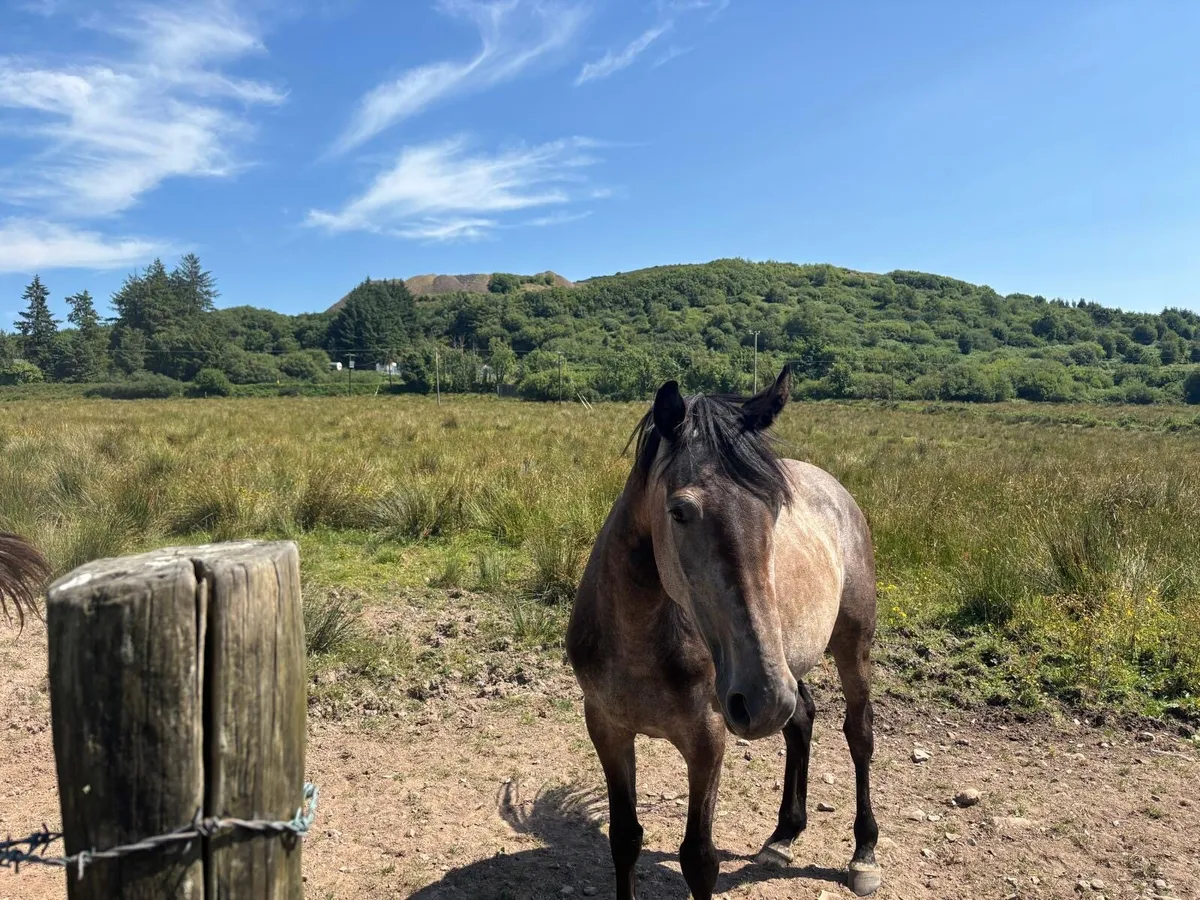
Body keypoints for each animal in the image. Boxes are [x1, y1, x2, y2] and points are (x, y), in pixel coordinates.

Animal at [566, 365, 881, 900]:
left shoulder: (707, 738)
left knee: (858, 733)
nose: (762, 701)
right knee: (801, 718)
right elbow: (624, 837)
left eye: (776, 509)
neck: (638, 643)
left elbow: (699, 858)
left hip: (842, 646)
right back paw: (783, 836)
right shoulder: (606, 726)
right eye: (679, 511)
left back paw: (863, 852)